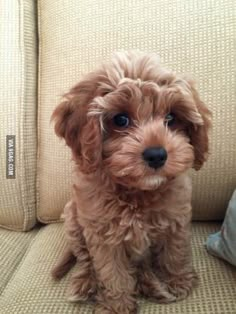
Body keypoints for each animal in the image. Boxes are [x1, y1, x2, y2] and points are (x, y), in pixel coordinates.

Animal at [50, 51, 211, 314]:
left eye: (171, 118)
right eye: (121, 120)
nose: (156, 154)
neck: (137, 191)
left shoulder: (175, 219)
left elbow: (174, 253)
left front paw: (179, 281)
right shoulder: (104, 236)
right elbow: (113, 274)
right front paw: (118, 306)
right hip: (73, 219)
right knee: (85, 259)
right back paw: (85, 283)